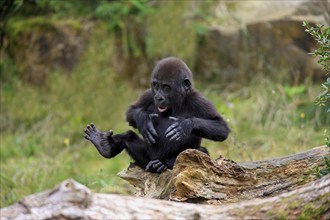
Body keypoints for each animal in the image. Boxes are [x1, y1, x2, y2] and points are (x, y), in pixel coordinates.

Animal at [84, 56, 231, 174]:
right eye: (156, 85)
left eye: (166, 87)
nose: (158, 98)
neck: (177, 103)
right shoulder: (149, 94)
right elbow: (131, 111)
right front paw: (144, 121)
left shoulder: (198, 100)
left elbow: (221, 127)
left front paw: (184, 125)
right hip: (146, 160)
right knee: (128, 136)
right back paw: (105, 146)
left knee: (200, 151)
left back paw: (167, 163)